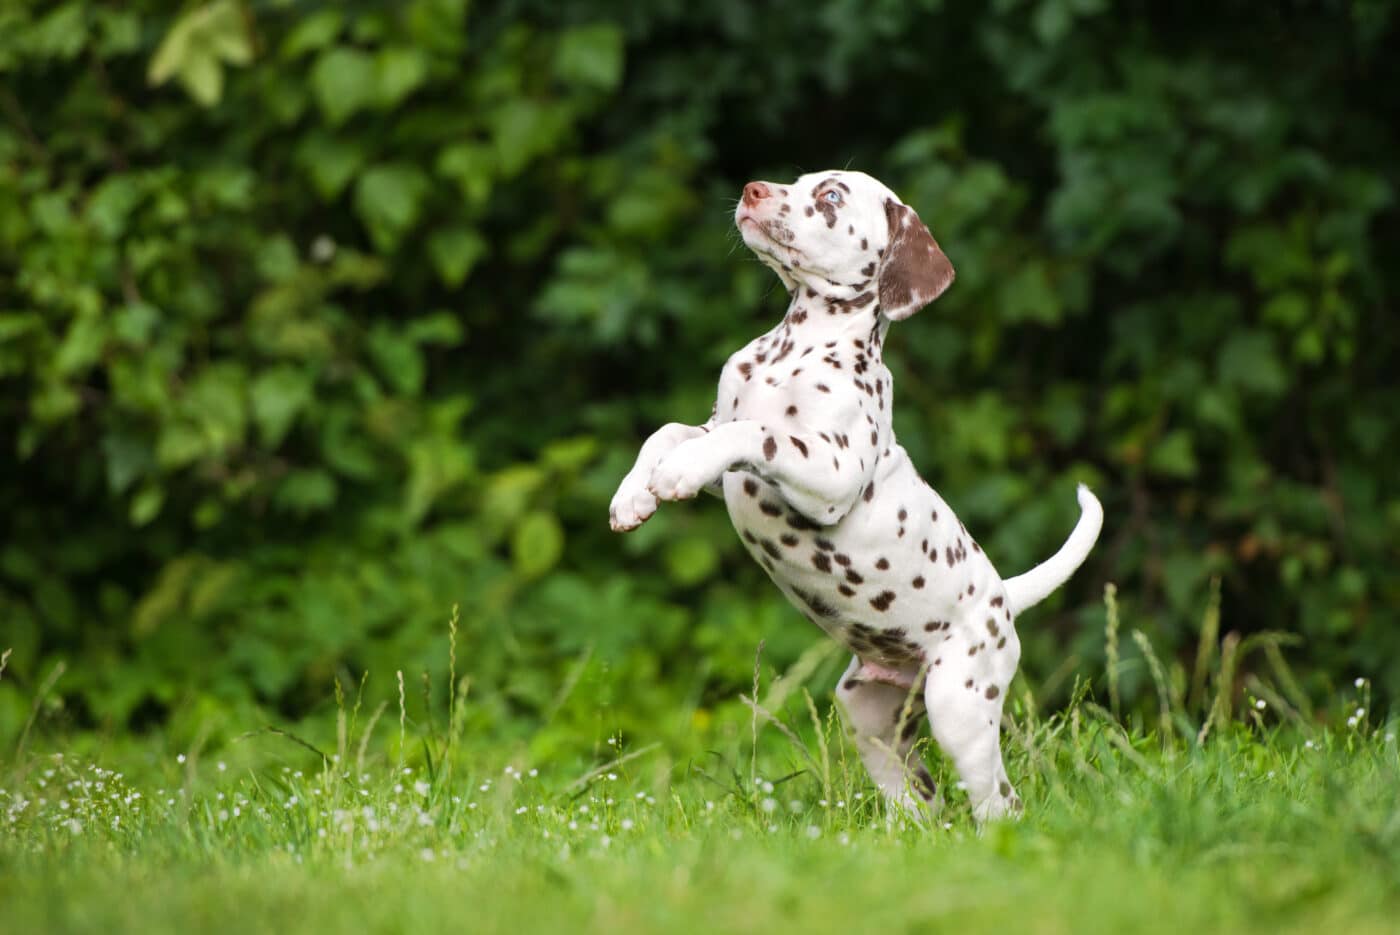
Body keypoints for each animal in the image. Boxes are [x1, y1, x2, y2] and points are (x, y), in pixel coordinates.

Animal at [613, 171, 1103, 823]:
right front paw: (633, 496)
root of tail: (1002, 596)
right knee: (920, 800)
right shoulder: (720, 442)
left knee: (999, 803)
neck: (795, 349)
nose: (753, 188)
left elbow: (757, 433)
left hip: (959, 710)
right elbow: (667, 433)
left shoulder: (830, 470)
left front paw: (676, 474)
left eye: (831, 196)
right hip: (871, 719)